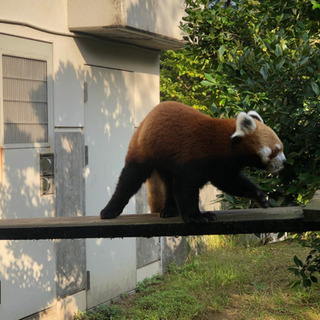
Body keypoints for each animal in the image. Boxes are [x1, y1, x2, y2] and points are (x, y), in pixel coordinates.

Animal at [100, 102, 284, 222]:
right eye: (276, 150)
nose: (284, 162)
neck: (223, 145)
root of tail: (146, 119)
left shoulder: (221, 168)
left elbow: (231, 182)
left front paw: (259, 196)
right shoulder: (193, 157)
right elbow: (186, 188)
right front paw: (196, 217)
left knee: (168, 184)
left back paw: (169, 209)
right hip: (144, 150)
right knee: (130, 178)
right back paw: (110, 210)